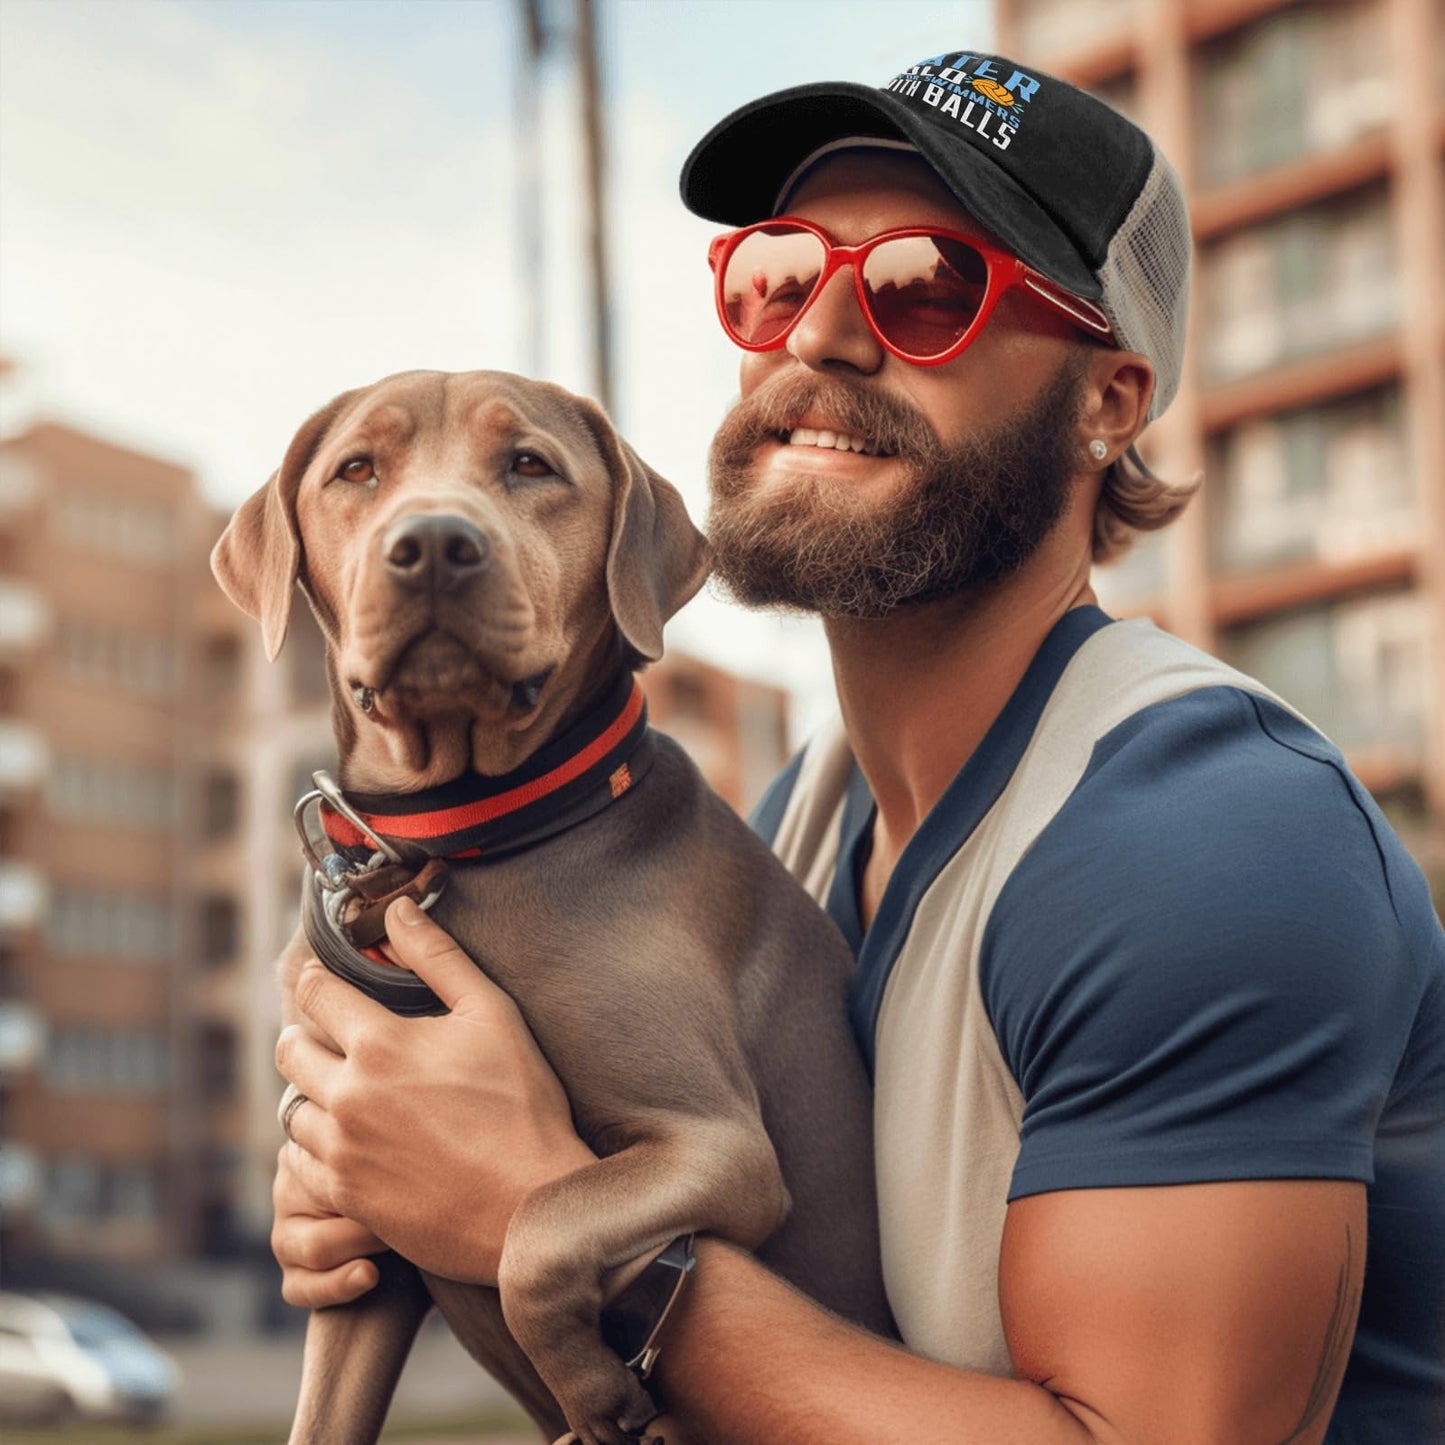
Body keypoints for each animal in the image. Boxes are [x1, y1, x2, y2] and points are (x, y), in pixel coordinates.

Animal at [210, 375, 890, 1445]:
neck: (458, 842)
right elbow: (322, 1416)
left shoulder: (718, 1147)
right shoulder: (359, 1248)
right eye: (356, 469)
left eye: (529, 464)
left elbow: (538, 1226)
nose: (433, 543)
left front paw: (594, 1389)